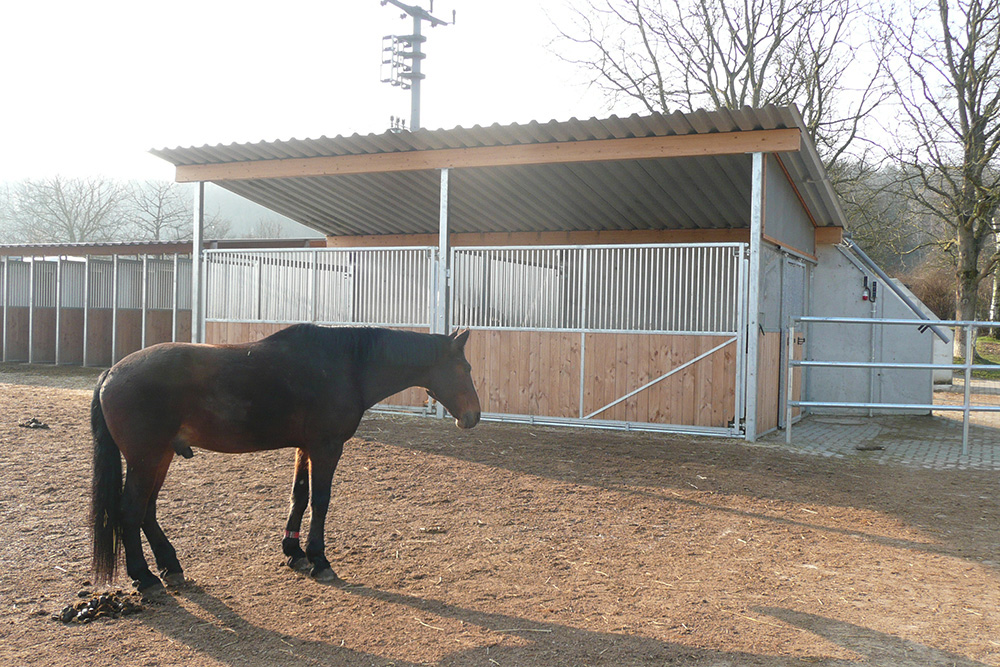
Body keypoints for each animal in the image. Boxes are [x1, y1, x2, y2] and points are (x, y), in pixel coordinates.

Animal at [92, 324, 482, 588]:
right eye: (466, 369)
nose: (473, 416)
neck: (345, 365)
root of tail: (111, 372)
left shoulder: (305, 447)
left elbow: (299, 496)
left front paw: (294, 552)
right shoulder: (327, 447)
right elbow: (321, 501)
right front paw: (319, 558)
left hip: (160, 457)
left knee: (147, 510)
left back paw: (169, 566)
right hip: (145, 458)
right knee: (131, 510)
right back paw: (144, 576)